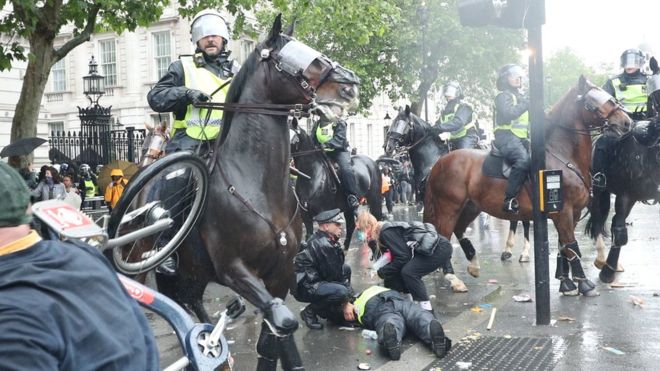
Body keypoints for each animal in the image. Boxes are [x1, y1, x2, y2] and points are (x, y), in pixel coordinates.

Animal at [109, 16, 360, 370]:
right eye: (299, 58)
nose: (351, 86)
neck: (257, 188)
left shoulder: (280, 274)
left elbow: (273, 339)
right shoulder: (233, 269)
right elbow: (283, 321)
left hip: (193, 273)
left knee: (188, 303)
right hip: (140, 261)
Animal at [426, 77, 632, 298]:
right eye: (593, 101)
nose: (626, 122)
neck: (563, 156)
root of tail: (440, 162)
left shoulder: (573, 213)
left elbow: (563, 247)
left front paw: (566, 284)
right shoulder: (563, 212)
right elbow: (571, 245)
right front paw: (584, 284)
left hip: (471, 207)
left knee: (459, 230)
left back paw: (473, 264)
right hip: (448, 207)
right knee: (444, 236)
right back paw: (453, 279)